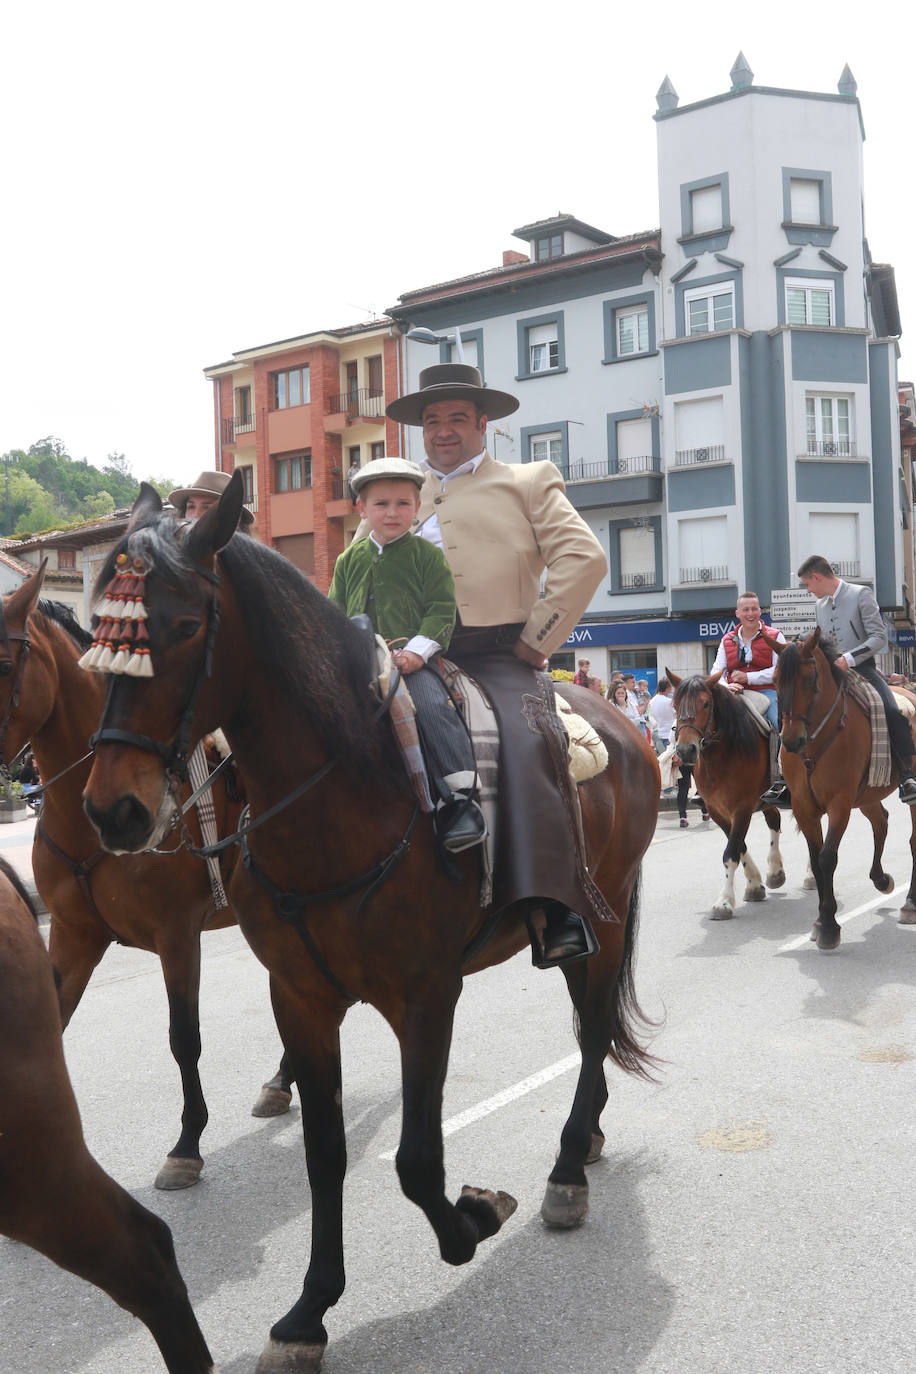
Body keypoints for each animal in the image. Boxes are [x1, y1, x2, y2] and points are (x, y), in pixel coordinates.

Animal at [0, 563, 289, 1187]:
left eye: (6, 666)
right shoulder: (72, 937)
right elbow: (54, 1023)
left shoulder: (176, 936)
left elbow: (184, 1038)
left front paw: (187, 1143)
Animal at [82, 480, 661, 1374]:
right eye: (98, 632)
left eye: (180, 628)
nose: (115, 810)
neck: (348, 789)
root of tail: (621, 720)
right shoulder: (301, 998)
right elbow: (326, 1154)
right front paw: (309, 1311)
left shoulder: (426, 996)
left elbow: (418, 1161)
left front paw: (474, 1218)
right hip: (571, 925)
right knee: (585, 1020)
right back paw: (589, 1135)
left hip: (611, 903)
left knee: (595, 1029)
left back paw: (567, 1168)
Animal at [667, 667, 796, 917]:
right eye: (675, 705)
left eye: (706, 703)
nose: (686, 750)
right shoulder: (717, 810)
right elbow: (738, 846)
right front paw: (754, 885)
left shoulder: (742, 808)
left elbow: (730, 853)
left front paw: (724, 901)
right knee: (774, 819)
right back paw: (775, 872)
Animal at [774, 629, 916, 950]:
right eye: (774, 679)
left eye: (809, 680)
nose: (791, 741)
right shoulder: (804, 807)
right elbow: (816, 861)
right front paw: (820, 920)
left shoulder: (839, 802)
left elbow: (827, 858)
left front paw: (828, 926)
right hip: (868, 795)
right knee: (881, 821)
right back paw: (881, 878)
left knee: (913, 840)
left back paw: (910, 903)